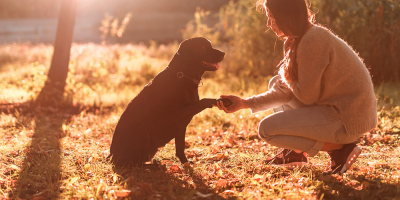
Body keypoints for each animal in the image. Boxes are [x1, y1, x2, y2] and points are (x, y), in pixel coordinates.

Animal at [108, 37, 225, 167]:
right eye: (203, 47)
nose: (223, 53)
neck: (182, 76)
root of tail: (111, 156)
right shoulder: (179, 114)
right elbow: (203, 101)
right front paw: (216, 100)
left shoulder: (181, 127)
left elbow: (180, 148)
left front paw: (185, 163)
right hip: (141, 133)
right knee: (134, 164)